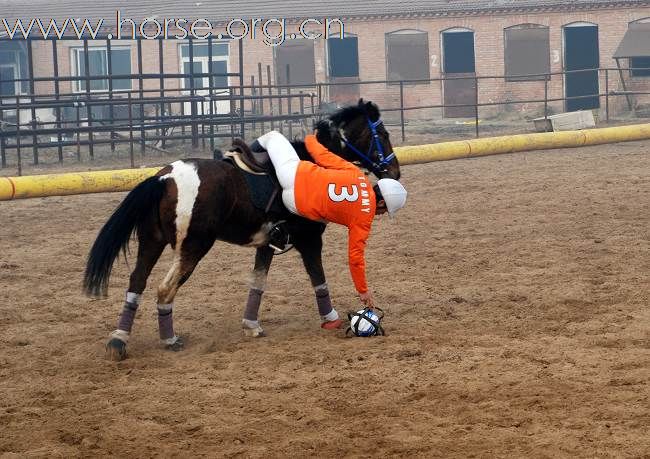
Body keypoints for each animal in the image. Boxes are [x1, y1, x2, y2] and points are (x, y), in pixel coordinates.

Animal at [85, 99, 400, 362]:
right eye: (383, 134)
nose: (395, 171)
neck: (312, 161)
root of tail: (164, 178)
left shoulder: (268, 243)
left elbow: (257, 283)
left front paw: (251, 325)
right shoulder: (309, 239)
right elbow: (318, 278)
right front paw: (331, 318)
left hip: (152, 242)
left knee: (136, 282)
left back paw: (119, 340)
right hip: (193, 248)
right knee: (164, 289)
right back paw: (169, 339)